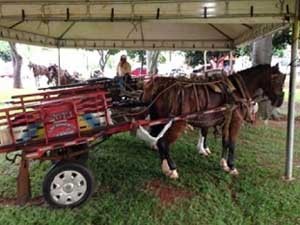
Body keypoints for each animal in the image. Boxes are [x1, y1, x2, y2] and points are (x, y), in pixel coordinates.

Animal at [141, 64, 286, 179]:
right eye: (278, 79)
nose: (280, 101)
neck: (237, 91)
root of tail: (161, 88)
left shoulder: (226, 120)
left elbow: (225, 142)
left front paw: (224, 164)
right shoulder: (236, 122)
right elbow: (232, 144)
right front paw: (232, 167)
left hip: (161, 121)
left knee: (159, 141)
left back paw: (165, 166)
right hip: (177, 123)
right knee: (163, 142)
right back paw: (172, 169)